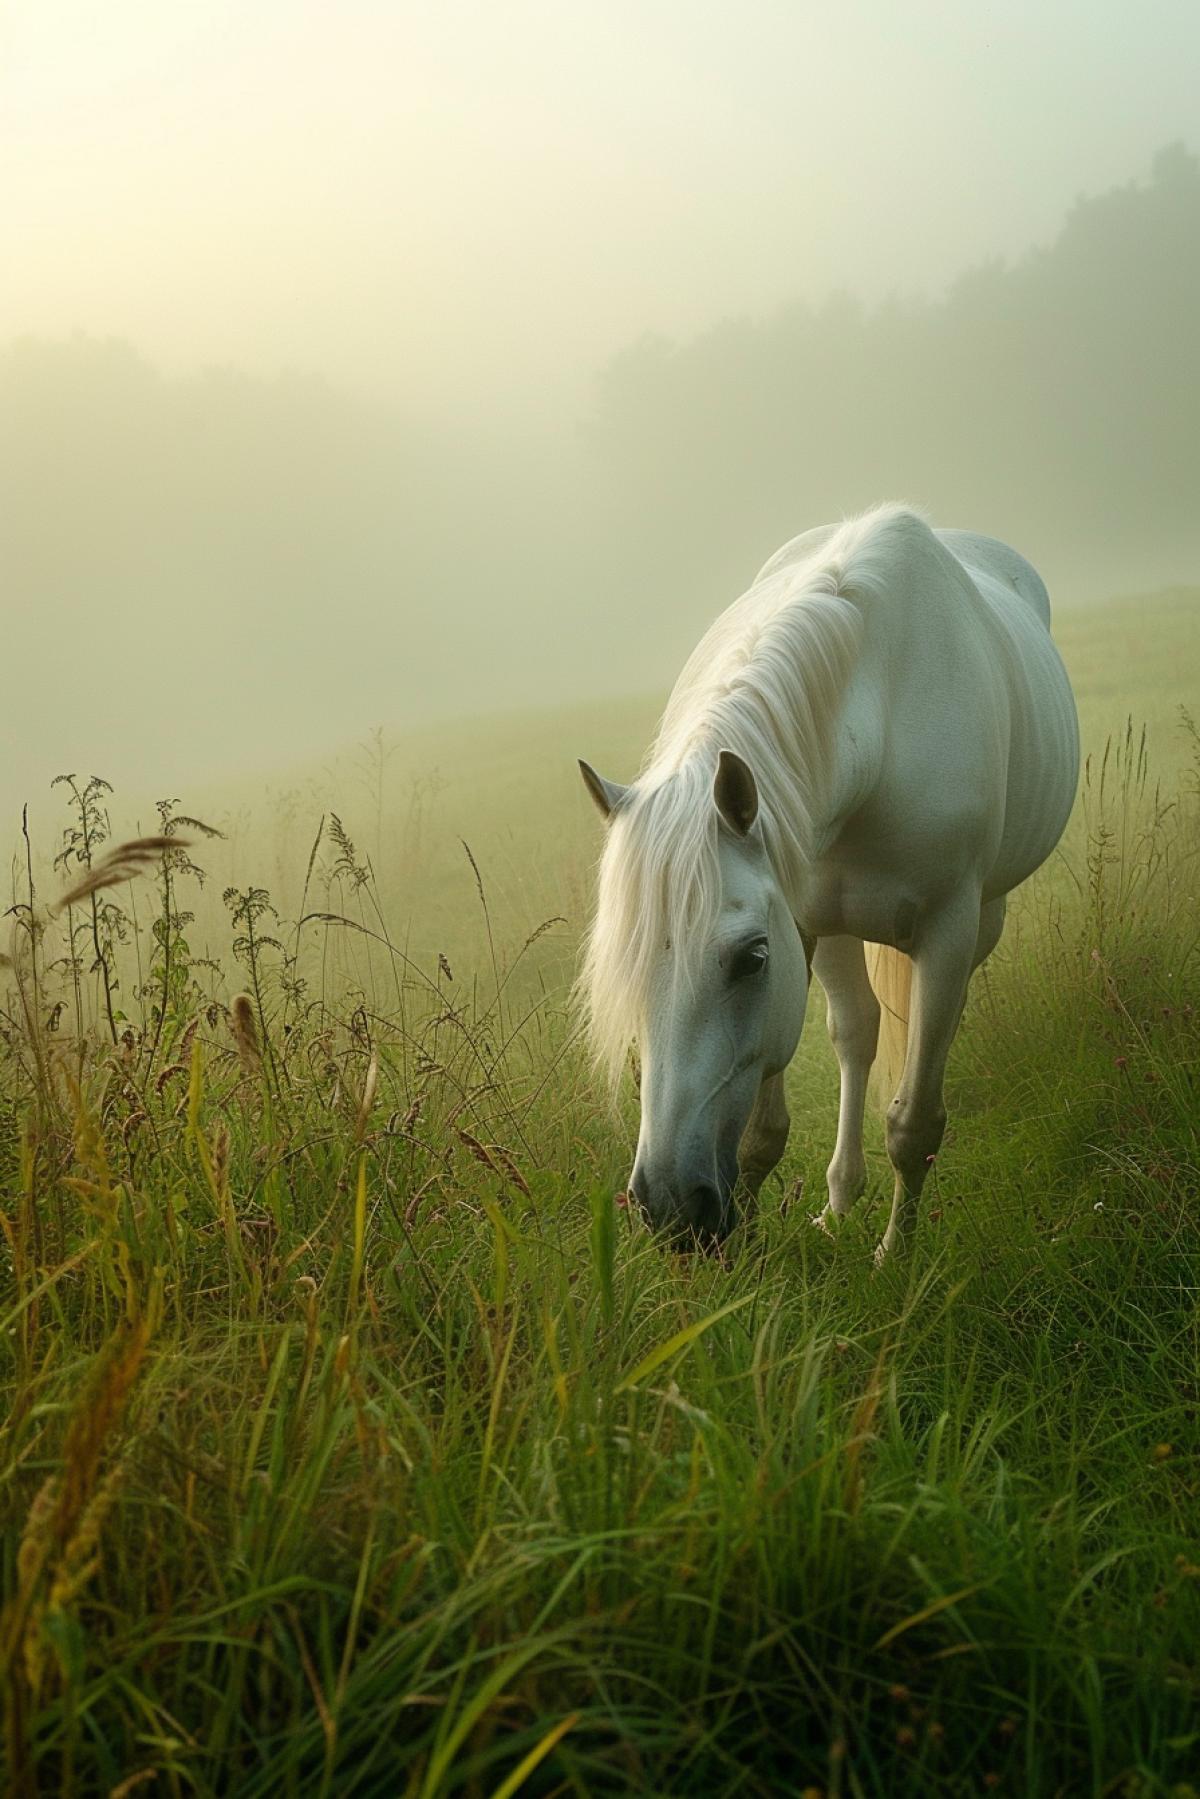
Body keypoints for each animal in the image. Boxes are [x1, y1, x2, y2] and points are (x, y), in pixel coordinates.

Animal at [577, 504, 1079, 1258]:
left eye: (751, 959)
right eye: (626, 969)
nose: (668, 1206)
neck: (879, 717)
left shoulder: (945, 928)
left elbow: (913, 1122)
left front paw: (894, 1258)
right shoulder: (804, 921)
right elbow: (764, 1127)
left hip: (982, 916)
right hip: (839, 928)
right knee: (858, 1032)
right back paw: (839, 1201)